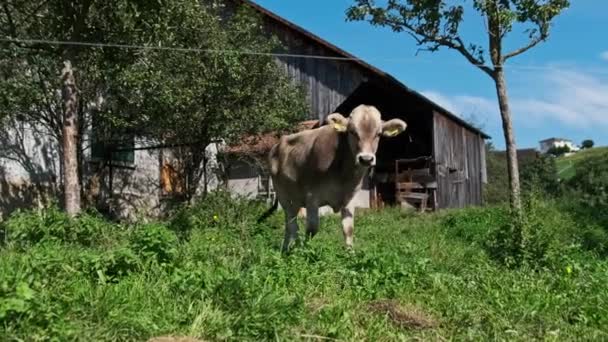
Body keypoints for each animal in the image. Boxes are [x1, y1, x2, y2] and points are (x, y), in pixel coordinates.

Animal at [258, 104, 408, 251]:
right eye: (352, 132)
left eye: (378, 134)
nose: (366, 159)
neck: (343, 175)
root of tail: (276, 146)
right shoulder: (312, 197)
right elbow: (312, 229)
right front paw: (306, 252)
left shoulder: (350, 198)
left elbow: (349, 229)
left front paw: (350, 253)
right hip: (282, 195)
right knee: (291, 222)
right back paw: (293, 248)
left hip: (295, 199)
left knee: (290, 222)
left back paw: (287, 247)